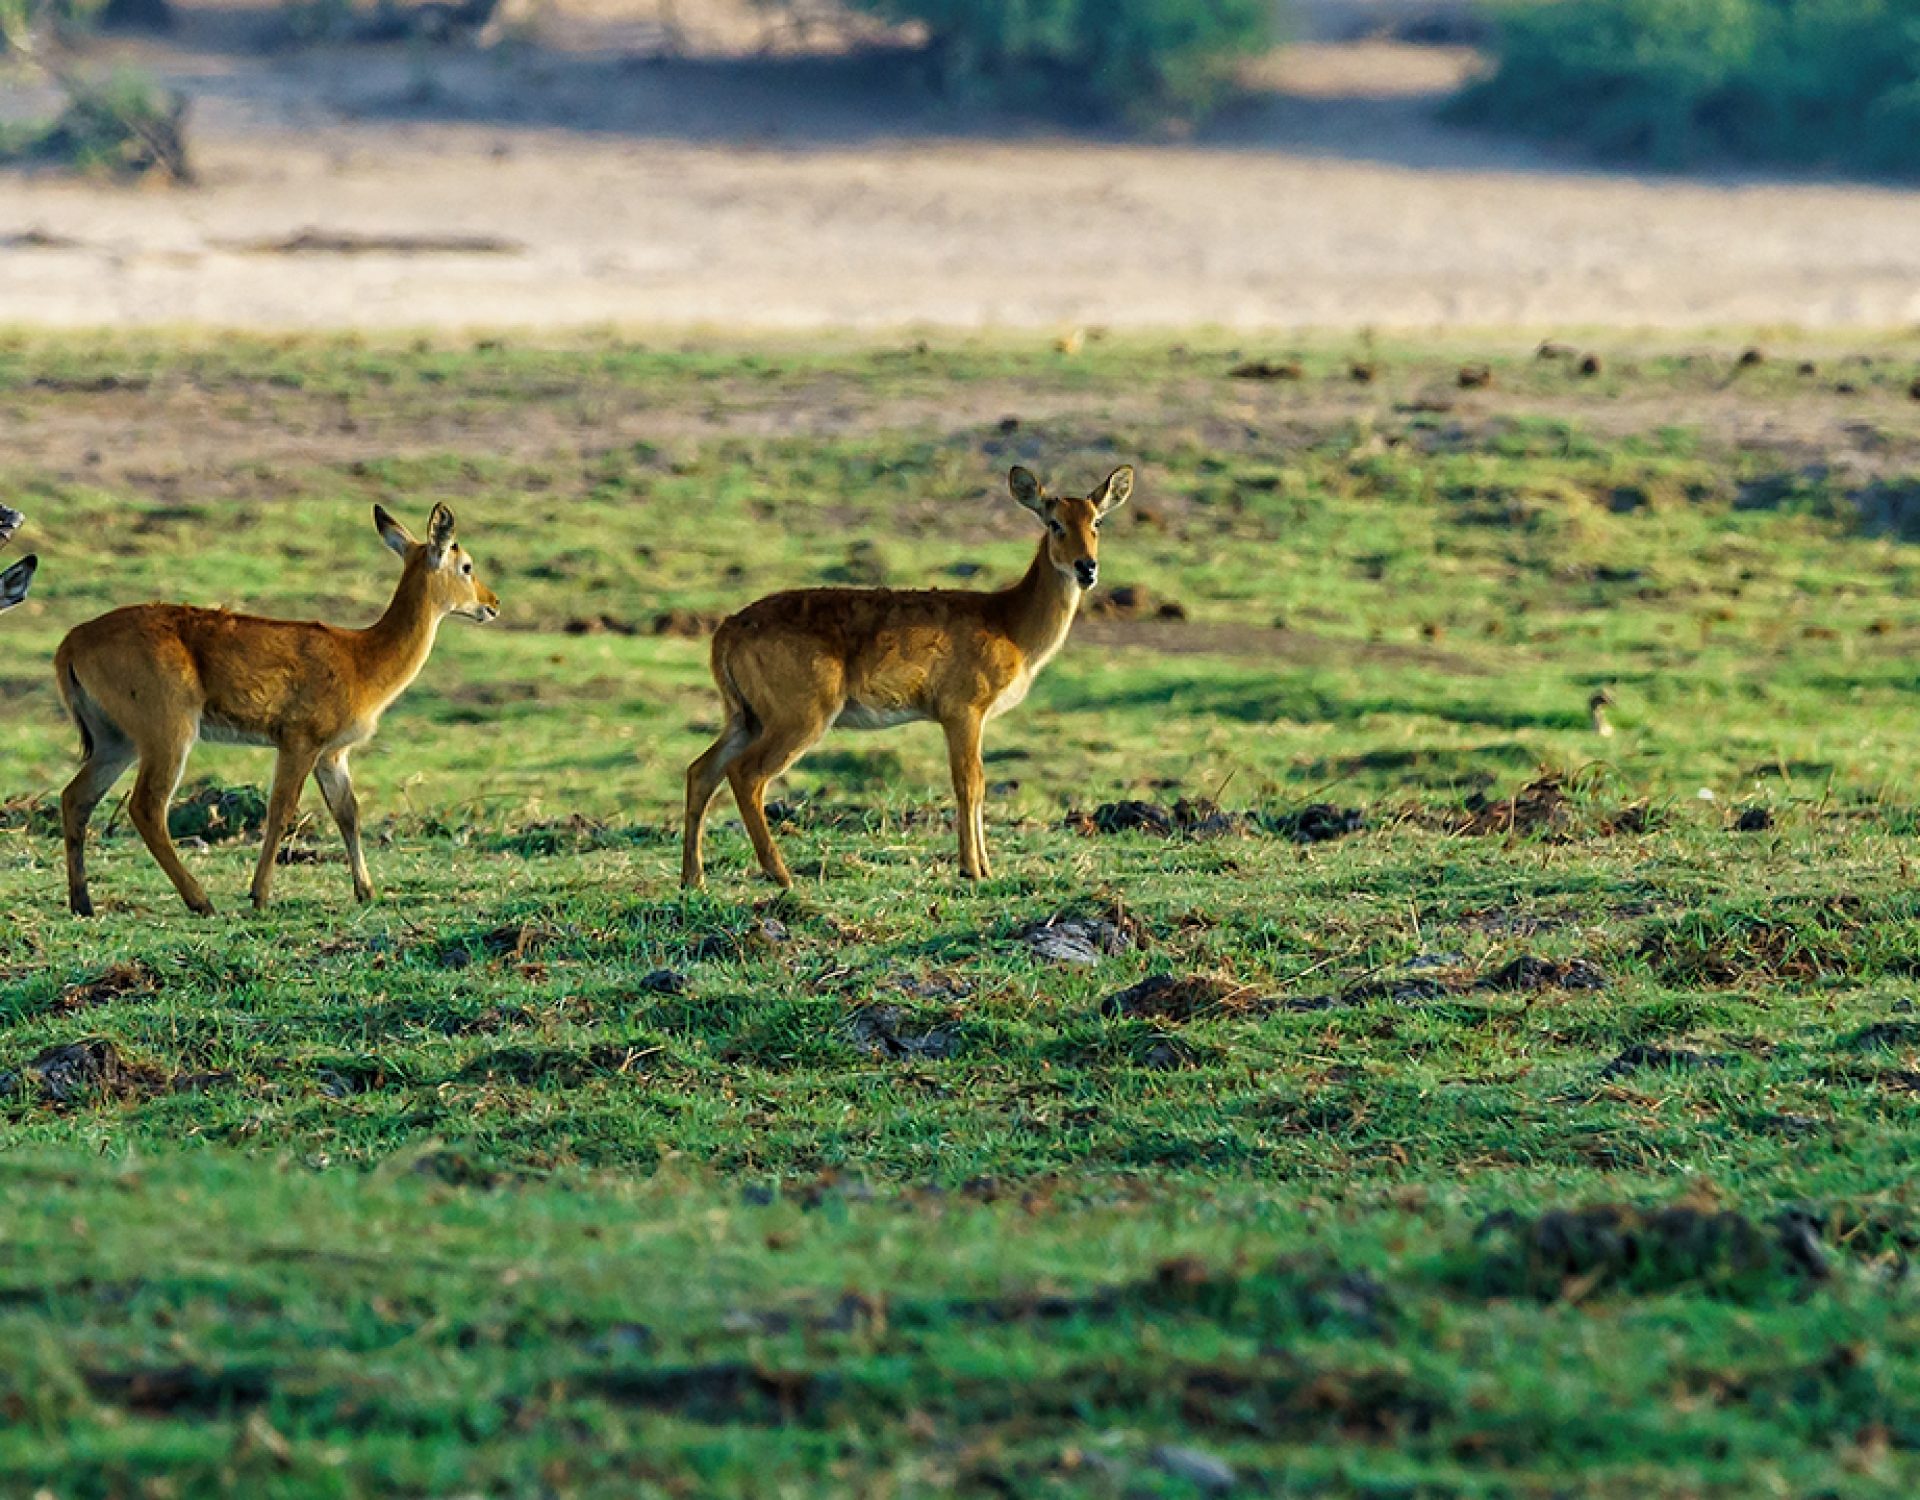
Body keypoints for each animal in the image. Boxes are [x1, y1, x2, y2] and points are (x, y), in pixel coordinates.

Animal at [57, 503, 499, 914]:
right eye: (466, 565)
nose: (492, 603)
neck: (361, 657)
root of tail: (71, 640)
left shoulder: (332, 754)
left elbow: (348, 812)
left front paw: (366, 891)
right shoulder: (298, 743)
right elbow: (281, 811)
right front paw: (260, 894)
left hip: (117, 742)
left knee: (76, 797)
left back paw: (83, 903)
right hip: (169, 735)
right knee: (146, 806)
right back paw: (201, 901)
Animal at [683, 462, 1128, 883]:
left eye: (1096, 522)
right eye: (1054, 522)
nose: (1087, 567)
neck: (1009, 621)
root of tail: (727, 630)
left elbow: (978, 784)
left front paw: (984, 867)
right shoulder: (962, 712)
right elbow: (970, 783)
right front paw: (973, 870)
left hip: (745, 717)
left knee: (701, 770)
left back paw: (694, 879)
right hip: (799, 719)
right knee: (745, 774)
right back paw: (780, 874)